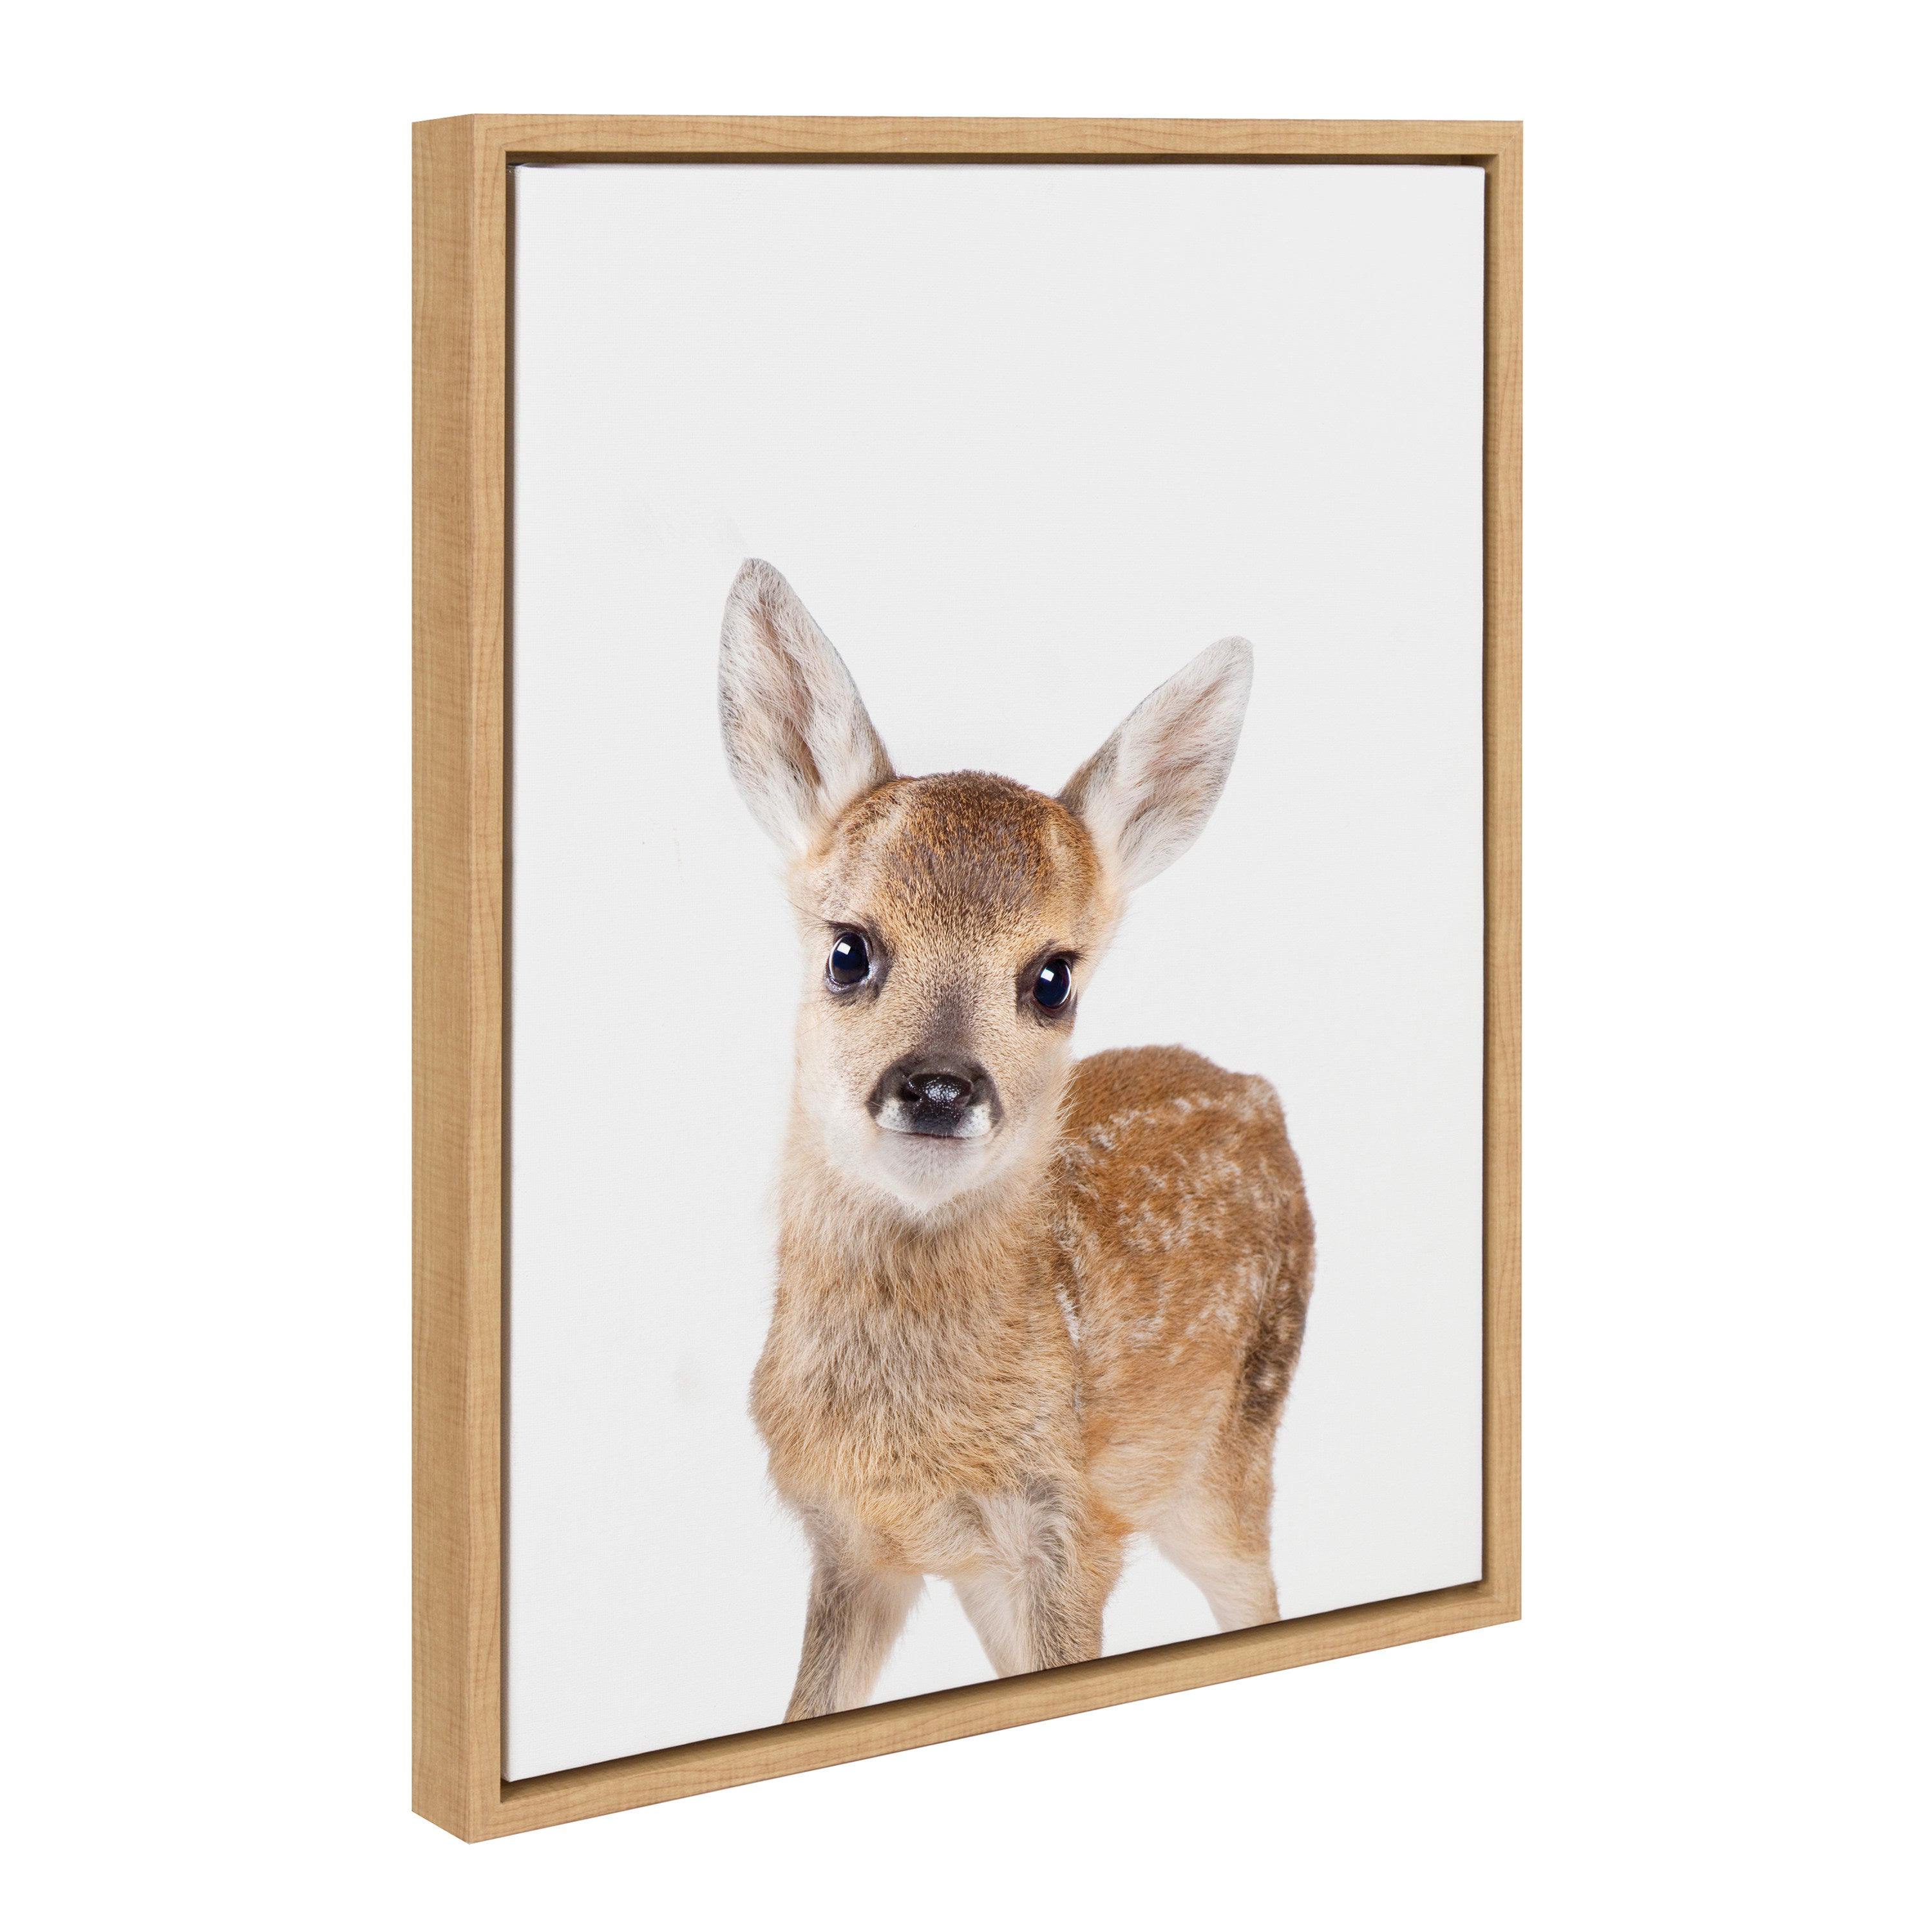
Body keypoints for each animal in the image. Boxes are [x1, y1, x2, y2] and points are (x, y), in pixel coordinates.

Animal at [717, 559, 1315, 1723]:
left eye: (1052, 978)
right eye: (848, 950)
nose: (940, 1086)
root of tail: (1260, 1093)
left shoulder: (1068, 1528)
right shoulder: (854, 1544)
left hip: (1231, 1456)